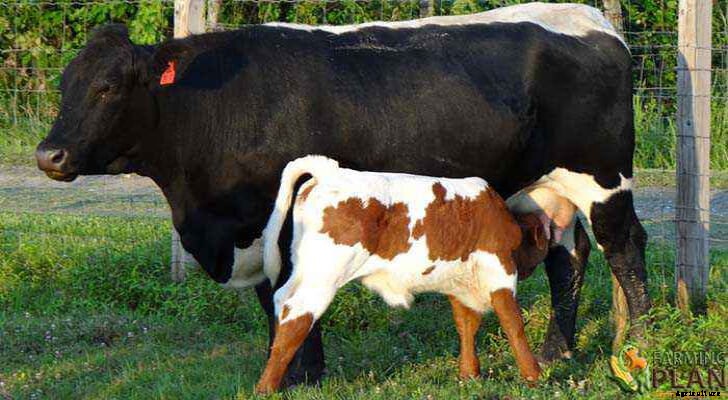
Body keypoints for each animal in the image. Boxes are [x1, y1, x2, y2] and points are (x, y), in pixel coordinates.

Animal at [256, 155, 541, 393]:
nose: (529, 270)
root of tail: (330, 171)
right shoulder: (500, 273)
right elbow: (513, 323)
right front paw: (534, 375)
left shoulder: (457, 282)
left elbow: (466, 324)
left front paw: (469, 375)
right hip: (325, 276)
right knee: (298, 313)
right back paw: (266, 388)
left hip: (305, 269)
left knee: (281, 302)